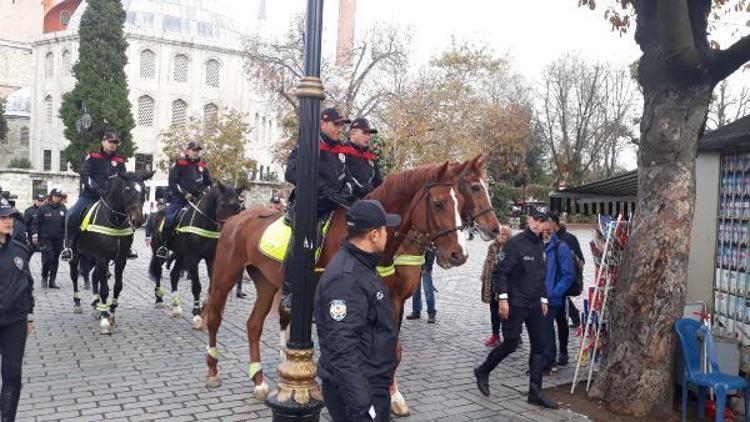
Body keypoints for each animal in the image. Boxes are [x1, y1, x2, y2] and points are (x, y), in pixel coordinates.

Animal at [69, 171, 154, 332]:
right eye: (127, 189)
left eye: (144, 190)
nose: (139, 220)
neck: (115, 221)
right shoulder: (102, 258)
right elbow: (104, 289)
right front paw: (104, 318)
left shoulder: (120, 259)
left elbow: (117, 286)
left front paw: (111, 313)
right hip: (76, 255)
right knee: (75, 276)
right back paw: (77, 303)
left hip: (92, 258)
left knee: (93, 277)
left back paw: (96, 306)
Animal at [151, 182, 245, 330]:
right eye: (222, 204)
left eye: (238, 207)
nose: (230, 233)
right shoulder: (193, 258)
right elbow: (196, 286)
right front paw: (197, 314)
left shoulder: (211, 259)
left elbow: (212, 286)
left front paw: (205, 308)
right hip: (159, 251)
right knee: (157, 270)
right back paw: (159, 299)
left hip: (180, 254)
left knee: (174, 275)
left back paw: (176, 306)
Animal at [200, 162, 470, 398]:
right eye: (438, 203)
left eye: (461, 203)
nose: (459, 254)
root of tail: (235, 219)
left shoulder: (388, 301)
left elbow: (390, 348)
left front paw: (391, 397)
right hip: (225, 275)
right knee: (214, 316)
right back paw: (212, 371)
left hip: (265, 282)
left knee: (253, 325)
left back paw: (258, 380)